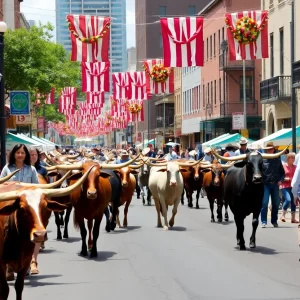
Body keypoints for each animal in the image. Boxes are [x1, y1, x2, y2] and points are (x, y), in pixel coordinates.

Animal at [0, 170, 91, 300]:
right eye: (22, 208)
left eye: (45, 206)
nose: (40, 234)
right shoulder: (1, 264)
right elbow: (4, 290)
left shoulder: (26, 261)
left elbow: (19, 287)